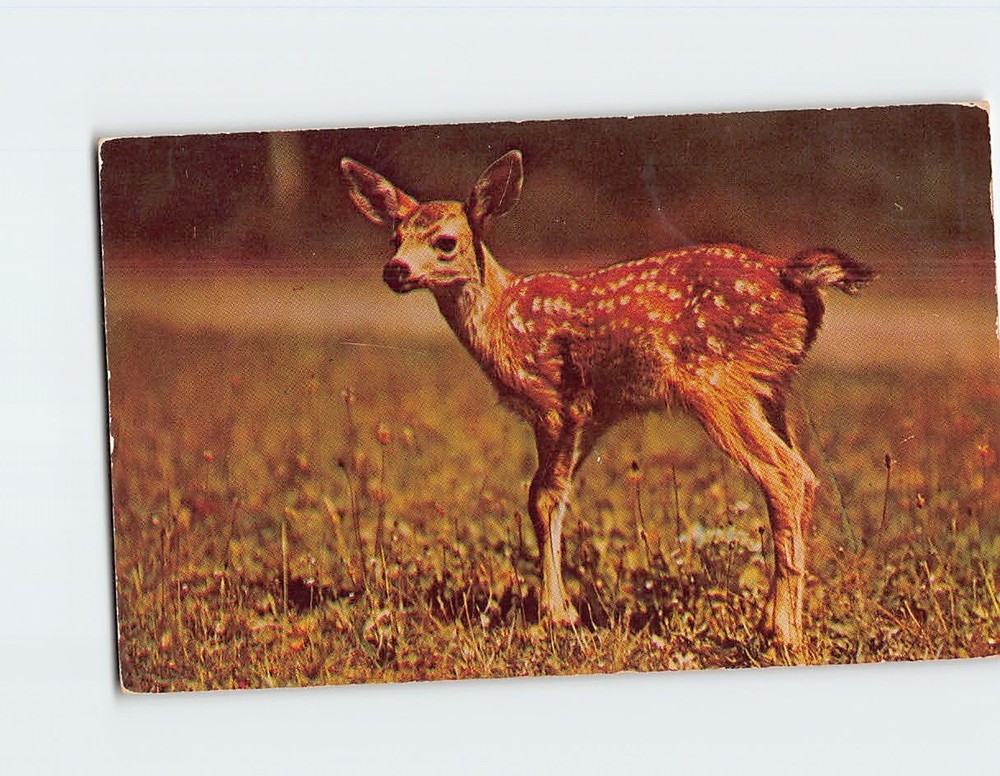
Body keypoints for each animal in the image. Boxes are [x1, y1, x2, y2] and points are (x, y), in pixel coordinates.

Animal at [340, 149, 874, 650]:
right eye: (394, 238)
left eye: (446, 242)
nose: (394, 269)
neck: (501, 320)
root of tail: (790, 273)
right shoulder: (592, 415)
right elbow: (556, 498)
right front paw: (560, 609)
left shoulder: (553, 403)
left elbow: (540, 497)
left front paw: (555, 614)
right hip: (770, 389)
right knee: (804, 476)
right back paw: (778, 620)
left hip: (717, 383)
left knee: (786, 476)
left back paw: (783, 632)